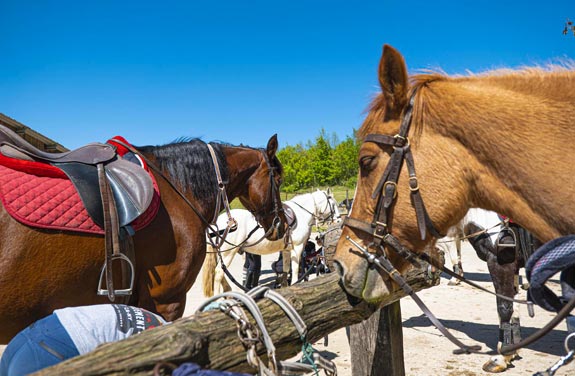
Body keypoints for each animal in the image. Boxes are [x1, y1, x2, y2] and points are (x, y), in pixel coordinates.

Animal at [202, 189, 340, 298]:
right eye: (333, 204)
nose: (338, 220)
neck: (301, 214)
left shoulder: (286, 250)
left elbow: (285, 270)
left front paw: (285, 288)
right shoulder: (298, 248)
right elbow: (296, 269)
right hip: (228, 253)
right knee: (218, 273)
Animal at [336, 45, 572, 368]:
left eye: (366, 161)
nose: (339, 263)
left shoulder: (501, 261)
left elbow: (504, 306)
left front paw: (504, 354)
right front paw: (512, 347)